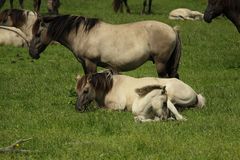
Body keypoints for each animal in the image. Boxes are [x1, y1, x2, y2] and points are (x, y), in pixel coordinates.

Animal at [28, 14, 181, 78]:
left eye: (38, 34)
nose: (32, 53)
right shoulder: (84, 63)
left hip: (161, 63)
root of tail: (172, 29)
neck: (83, 34)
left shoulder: (91, 62)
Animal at [76, 70, 205, 122]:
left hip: (171, 95)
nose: (78, 108)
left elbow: (102, 110)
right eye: (77, 91)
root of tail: (195, 94)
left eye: (86, 90)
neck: (110, 87)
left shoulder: (118, 107)